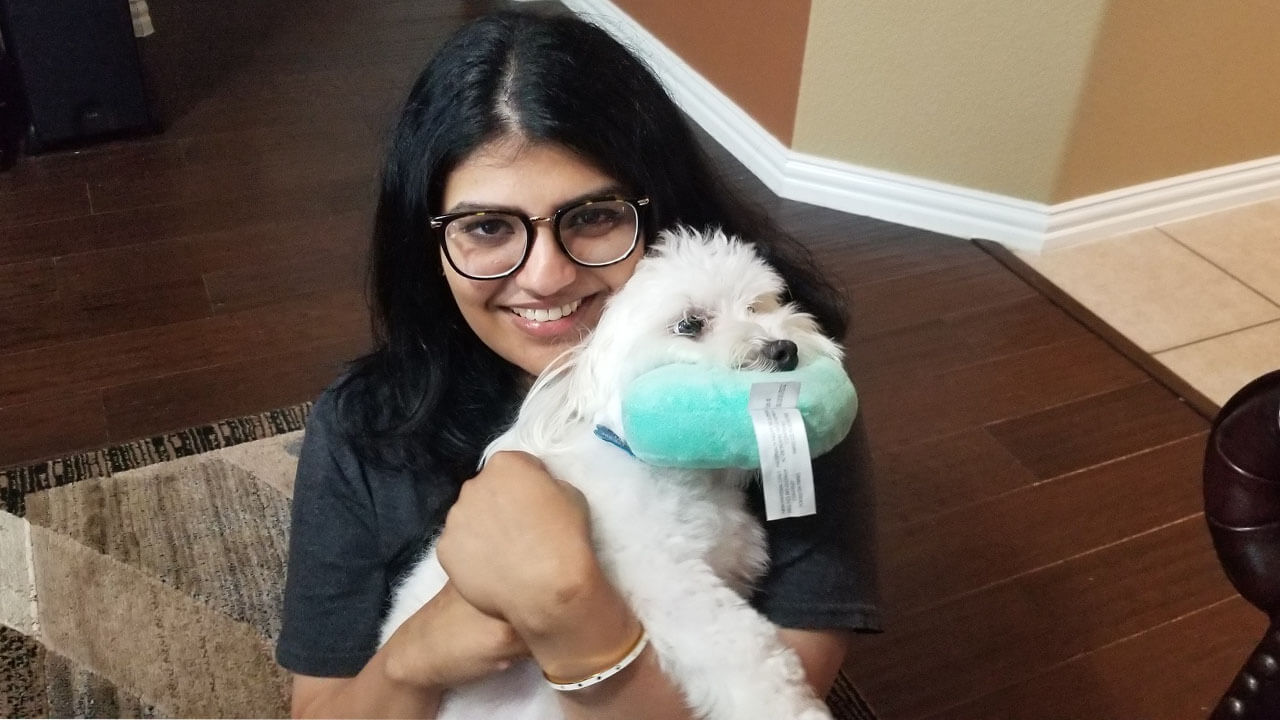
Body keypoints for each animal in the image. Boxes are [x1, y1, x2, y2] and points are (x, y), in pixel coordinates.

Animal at [376, 226, 839, 712]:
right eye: (689, 325)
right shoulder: (666, 577)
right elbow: (740, 646)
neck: (671, 471)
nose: (783, 349)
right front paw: (792, 708)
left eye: (759, 305)